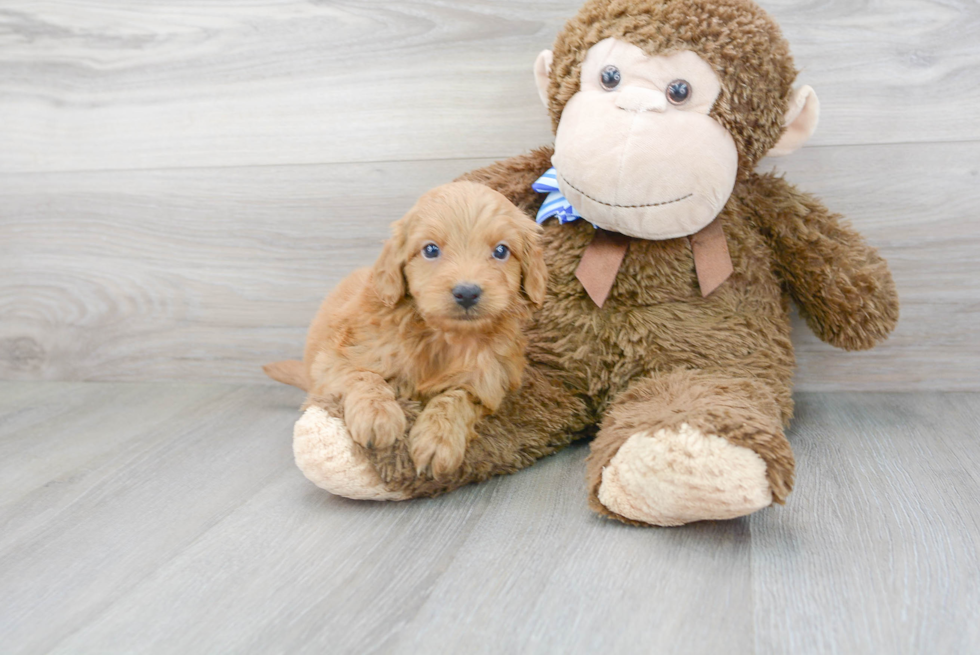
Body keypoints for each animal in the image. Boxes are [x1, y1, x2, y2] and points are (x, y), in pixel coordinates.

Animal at [264, 182, 548, 480]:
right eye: (431, 250)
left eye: (501, 251)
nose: (467, 293)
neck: (442, 337)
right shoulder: (335, 359)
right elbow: (363, 375)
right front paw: (377, 415)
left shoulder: (490, 380)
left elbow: (456, 398)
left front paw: (438, 439)